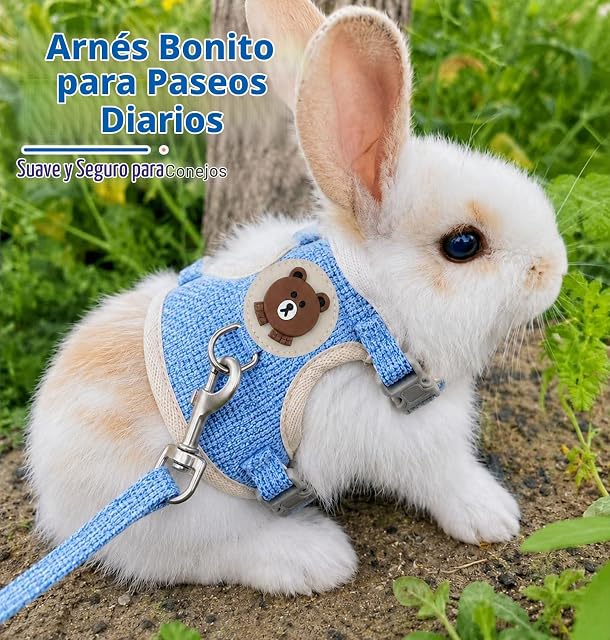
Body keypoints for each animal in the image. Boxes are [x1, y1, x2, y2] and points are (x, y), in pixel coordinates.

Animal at [26, 0, 567, 596]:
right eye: (463, 245)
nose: (555, 268)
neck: (368, 306)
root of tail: (50, 487)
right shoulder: (412, 437)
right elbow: (445, 478)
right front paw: (494, 516)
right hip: (197, 514)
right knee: (206, 557)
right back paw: (318, 557)